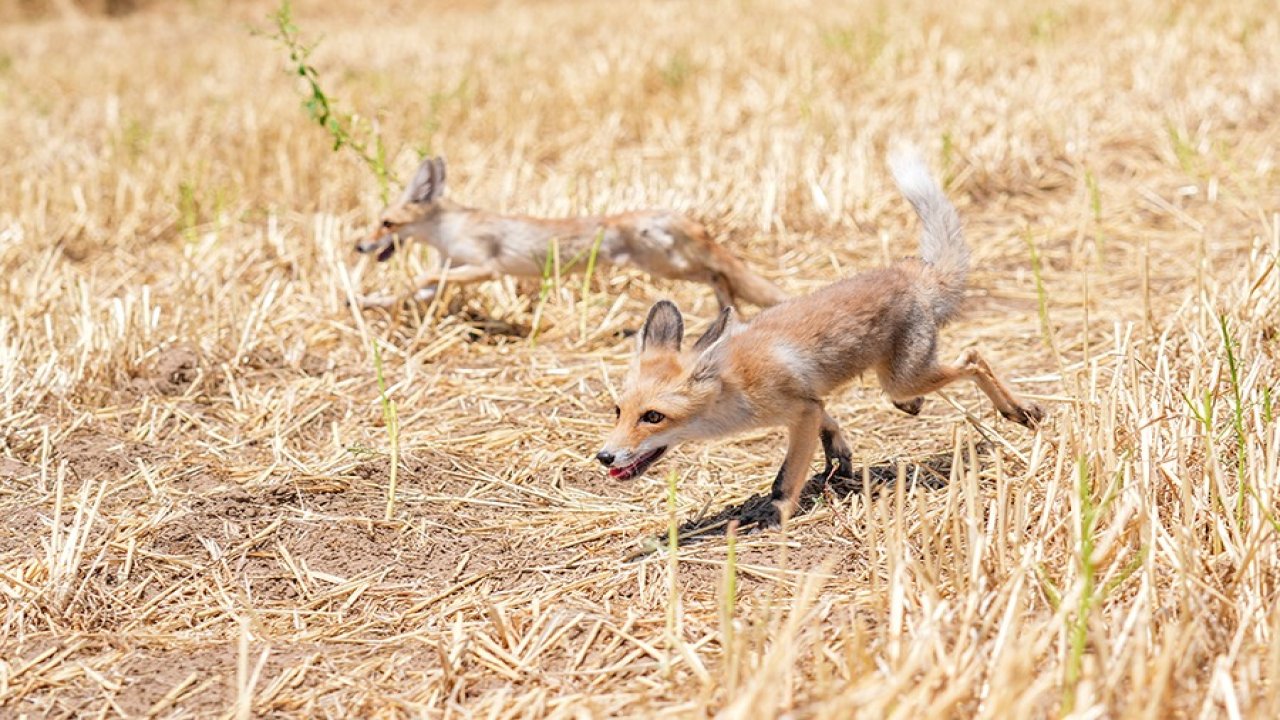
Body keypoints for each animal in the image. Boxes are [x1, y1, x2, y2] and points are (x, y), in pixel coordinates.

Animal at [353, 156, 788, 308]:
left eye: (386, 223)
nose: (360, 246)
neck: (448, 230)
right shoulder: (453, 267)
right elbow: (412, 292)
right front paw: (366, 302)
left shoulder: (485, 268)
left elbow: (421, 278)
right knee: (722, 275)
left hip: (668, 266)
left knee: (720, 273)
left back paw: (730, 307)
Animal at [593, 148, 1044, 525]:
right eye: (618, 411)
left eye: (653, 417)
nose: (604, 456)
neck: (735, 386)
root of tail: (910, 272)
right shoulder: (810, 403)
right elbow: (828, 420)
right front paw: (838, 452)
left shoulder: (798, 411)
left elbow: (787, 475)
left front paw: (776, 512)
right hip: (899, 379)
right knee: (932, 381)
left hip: (904, 376)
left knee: (973, 357)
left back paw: (1018, 410)